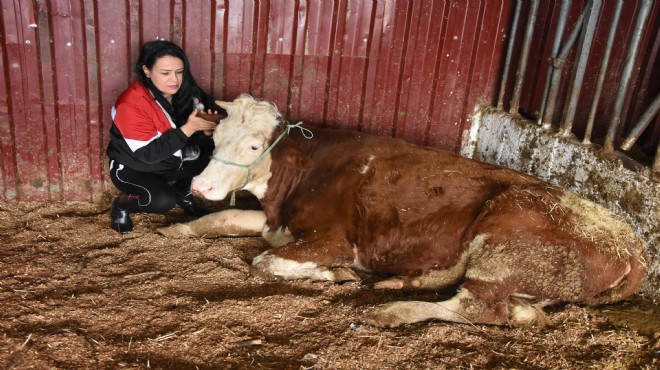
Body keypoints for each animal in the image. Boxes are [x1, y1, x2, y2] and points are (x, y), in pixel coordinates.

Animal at [188, 94, 648, 326]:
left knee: (480, 308)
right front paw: (179, 232)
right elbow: (222, 218)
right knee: (508, 307)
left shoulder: (331, 240)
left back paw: (392, 310)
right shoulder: (274, 221)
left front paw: (335, 274)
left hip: (505, 243)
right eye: (215, 139)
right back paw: (401, 284)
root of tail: (631, 244)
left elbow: (264, 262)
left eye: (253, 146)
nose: (199, 185)